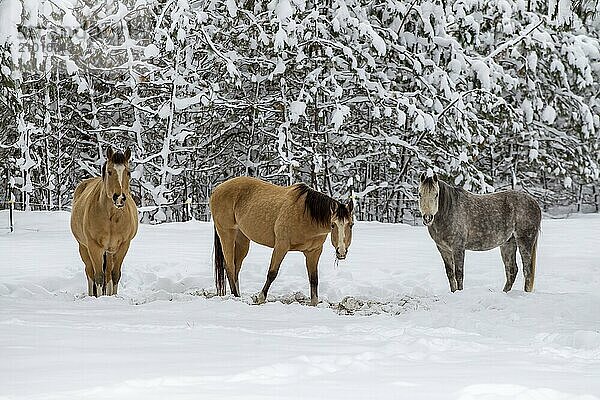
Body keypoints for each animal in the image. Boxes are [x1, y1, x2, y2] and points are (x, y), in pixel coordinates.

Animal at [69, 147, 138, 296]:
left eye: (128, 172)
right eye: (109, 171)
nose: (120, 198)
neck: (112, 218)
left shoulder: (123, 245)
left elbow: (115, 274)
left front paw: (113, 296)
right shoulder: (94, 246)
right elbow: (99, 276)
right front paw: (101, 298)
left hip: (110, 251)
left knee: (108, 273)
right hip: (84, 247)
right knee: (90, 272)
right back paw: (91, 294)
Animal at [210, 177, 354, 304]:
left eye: (351, 224)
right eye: (333, 225)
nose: (341, 252)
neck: (306, 214)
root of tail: (216, 190)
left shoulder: (314, 252)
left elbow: (314, 279)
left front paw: (314, 303)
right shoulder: (281, 246)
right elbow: (272, 273)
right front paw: (261, 298)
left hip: (242, 239)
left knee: (236, 267)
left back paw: (238, 295)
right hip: (227, 233)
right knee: (229, 266)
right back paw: (235, 296)